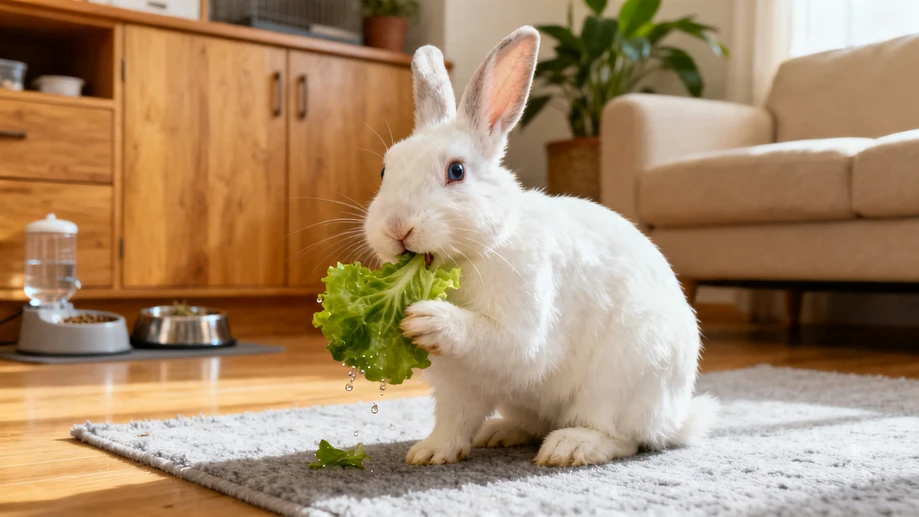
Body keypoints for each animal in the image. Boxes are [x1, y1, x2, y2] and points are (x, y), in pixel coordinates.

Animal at [363, 26, 717, 467]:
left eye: (456, 171)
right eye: (384, 170)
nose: (397, 228)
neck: (477, 252)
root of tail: (676, 416)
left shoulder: (520, 329)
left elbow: (501, 340)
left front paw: (426, 319)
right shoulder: (458, 383)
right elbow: (453, 422)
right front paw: (429, 454)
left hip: (623, 377)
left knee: (625, 437)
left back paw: (570, 447)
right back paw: (500, 432)